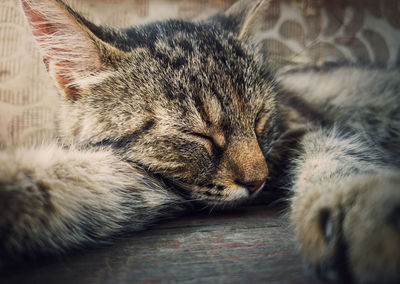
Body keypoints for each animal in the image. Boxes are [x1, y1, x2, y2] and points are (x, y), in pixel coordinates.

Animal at [0, 0, 400, 282]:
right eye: (198, 134)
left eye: (259, 119)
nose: (258, 181)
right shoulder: (138, 179)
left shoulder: (309, 124)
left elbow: (337, 153)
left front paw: (361, 215)